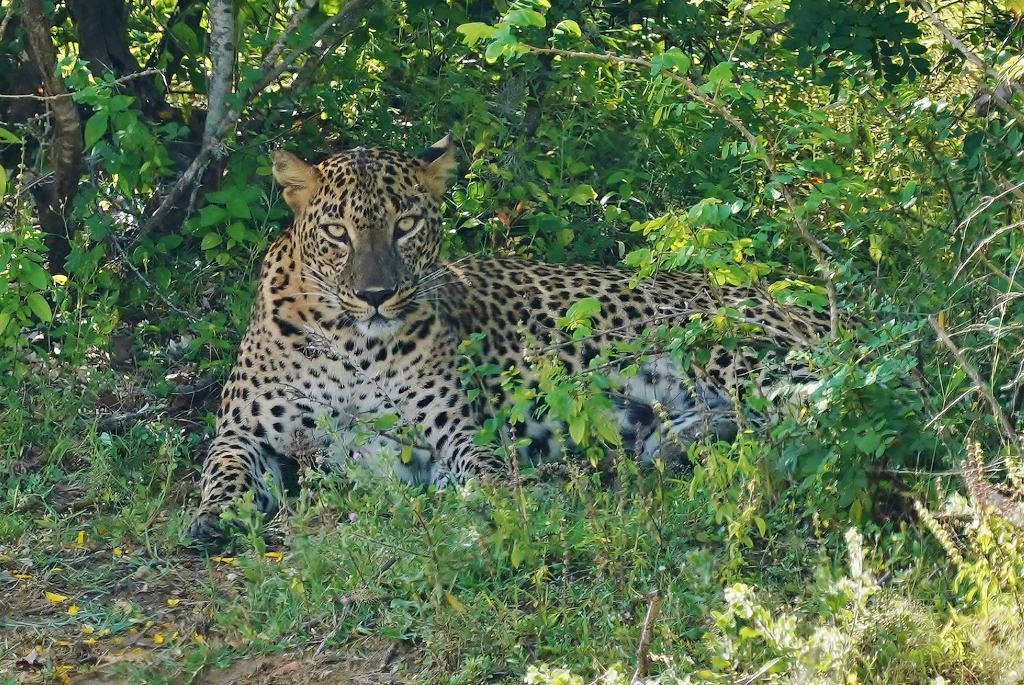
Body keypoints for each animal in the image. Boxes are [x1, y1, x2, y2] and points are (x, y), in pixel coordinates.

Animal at [190, 132, 831, 540]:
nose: (375, 294)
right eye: (336, 232)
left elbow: (489, 480)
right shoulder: (242, 433)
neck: (352, 347)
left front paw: (509, 509)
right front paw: (212, 519)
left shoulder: (458, 434)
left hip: (733, 350)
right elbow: (223, 472)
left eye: (406, 225)